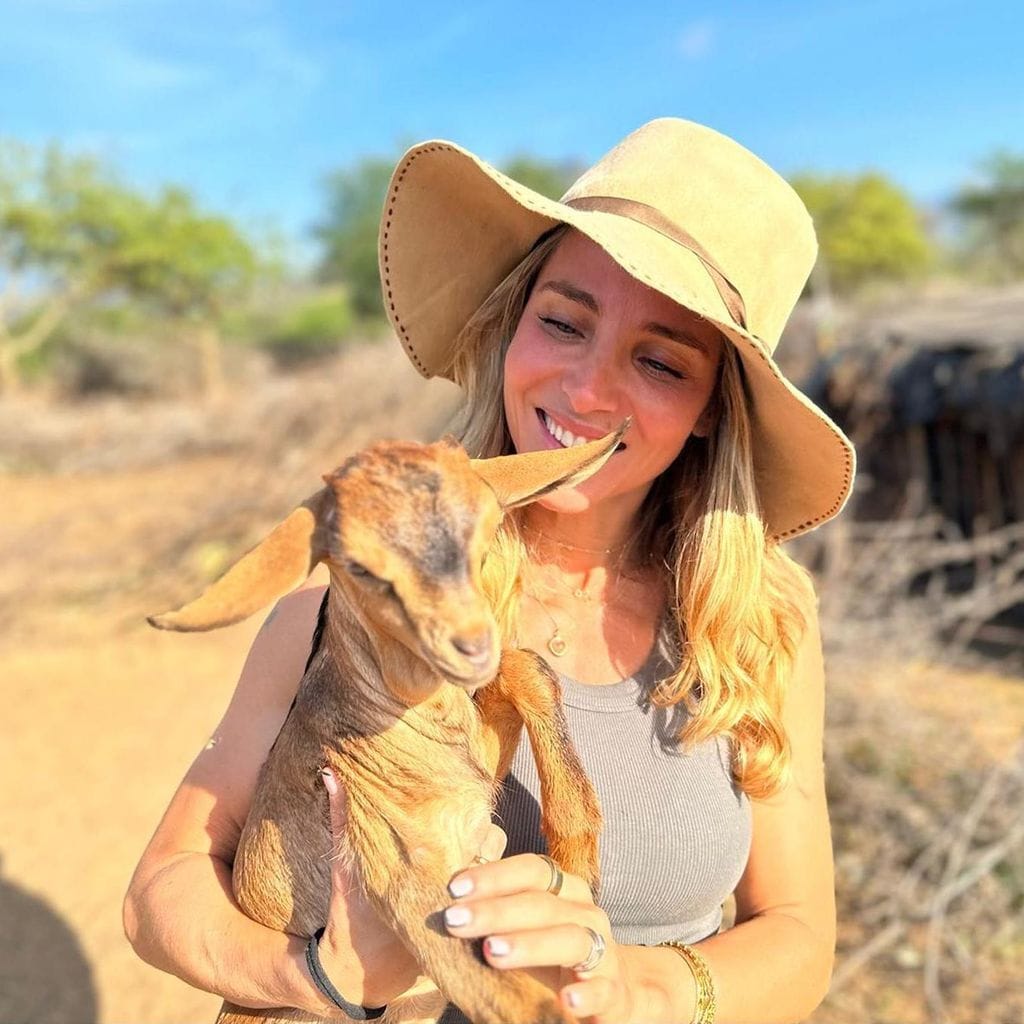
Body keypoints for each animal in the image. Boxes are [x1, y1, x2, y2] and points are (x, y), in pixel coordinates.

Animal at [147, 430, 618, 1024]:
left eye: (487, 527)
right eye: (360, 566)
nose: (469, 643)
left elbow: (526, 666)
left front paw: (577, 861)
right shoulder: (401, 870)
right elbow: (520, 1001)